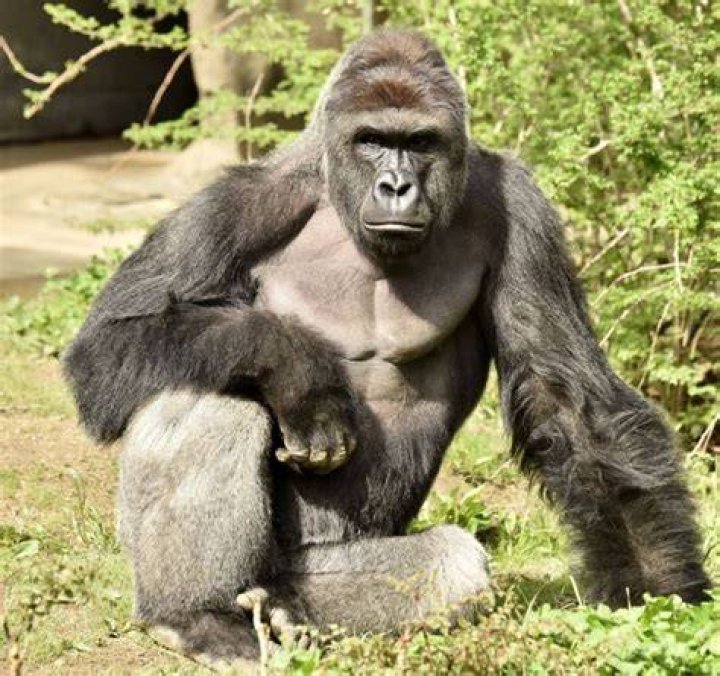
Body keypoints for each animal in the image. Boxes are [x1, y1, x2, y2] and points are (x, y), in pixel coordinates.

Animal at [64, 29, 710, 665]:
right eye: (372, 140)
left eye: (419, 142)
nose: (396, 185)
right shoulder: (238, 203)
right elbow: (107, 342)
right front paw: (297, 368)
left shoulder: (523, 213)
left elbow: (567, 396)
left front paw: (656, 590)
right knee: (207, 391)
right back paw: (194, 615)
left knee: (450, 564)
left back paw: (284, 608)